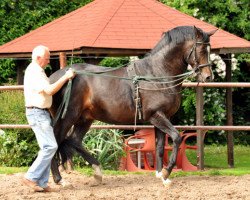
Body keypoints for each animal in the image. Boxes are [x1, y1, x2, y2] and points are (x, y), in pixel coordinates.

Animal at [49, 25, 216, 186]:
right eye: (201, 49)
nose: (208, 76)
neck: (157, 75)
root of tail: (54, 79)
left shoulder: (161, 118)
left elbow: (160, 147)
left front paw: (160, 175)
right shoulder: (156, 115)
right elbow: (176, 137)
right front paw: (166, 172)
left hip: (85, 118)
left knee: (74, 141)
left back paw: (97, 173)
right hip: (68, 117)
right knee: (55, 140)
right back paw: (59, 179)